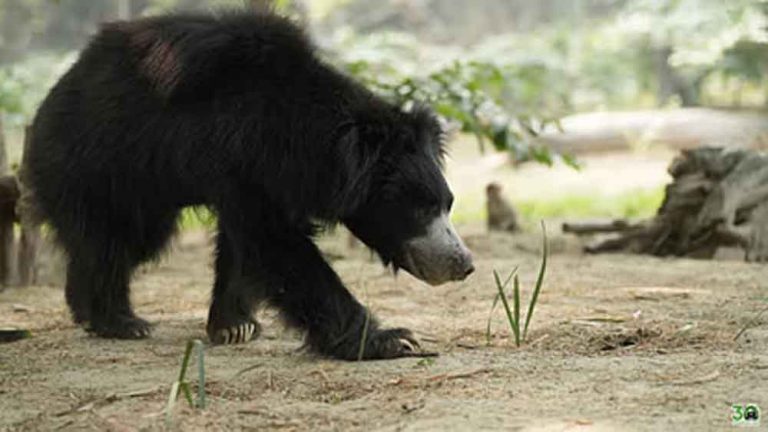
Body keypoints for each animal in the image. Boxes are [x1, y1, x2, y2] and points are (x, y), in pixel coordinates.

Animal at [25, 11, 474, 362]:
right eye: (420, 208)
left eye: (448, 203)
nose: (464, 263)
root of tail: (47, 103)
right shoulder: (243, 156)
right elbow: (277, 245)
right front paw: (392, 339)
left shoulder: (261, 176)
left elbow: (242, 247)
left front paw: (234, 326)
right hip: (102, 165)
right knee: (115, 240)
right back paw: (120, 321)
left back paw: (89, 312)